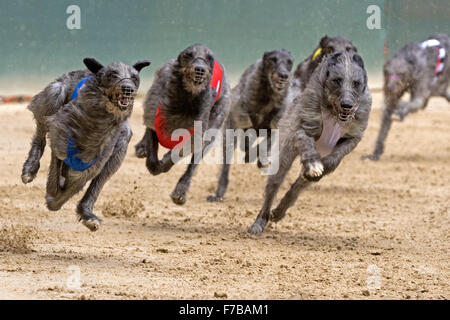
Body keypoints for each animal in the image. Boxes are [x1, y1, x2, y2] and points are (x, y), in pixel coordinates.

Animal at [22, 56, 151, 229]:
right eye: (112, 74)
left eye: (134, 77)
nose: (128, 89)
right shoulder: (60, 138)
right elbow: (57, 176)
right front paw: (52, 194)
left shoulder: (98, 158)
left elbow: (80, 181)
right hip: (55, 92)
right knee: (41, 134)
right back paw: (30, 168)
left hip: (120, 142)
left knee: (99, 179)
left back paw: (87, 212)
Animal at [133, 43, 232, 205]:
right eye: (189, 55)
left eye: (209, 58)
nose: (200, 69)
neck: (186, 100)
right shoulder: (154, 116)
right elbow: (152, 151)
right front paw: (154, 160)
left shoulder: (196, 133)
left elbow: (180, 152)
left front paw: (166, 162)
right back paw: (142, 147)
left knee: (194, 162)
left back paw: (180, 192)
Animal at [207, 48, 296, 201]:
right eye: (273, 59)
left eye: (289, 61)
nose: (284, 75)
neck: (268, 95)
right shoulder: (241, 117)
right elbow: (247, 141)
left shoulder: (275, 125)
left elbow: (265, 144)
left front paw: (259, 158)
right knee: (227, 163)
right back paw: (219, 193)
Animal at [248, 52, 370, 235]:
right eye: (337, 80)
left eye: (356, 83)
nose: (347, 105)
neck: (333, 113)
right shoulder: (304, 125)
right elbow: (305, 140)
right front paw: (313, 164)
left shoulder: (353, 134)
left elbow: (336, 157)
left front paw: (320, 168)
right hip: (285, 144)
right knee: (275, 182)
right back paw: (260, 221)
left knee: (299, 185)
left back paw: (281, 209)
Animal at [362, 33, 450, 161]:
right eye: (387, 72)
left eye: (401, 73)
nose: (389, 88)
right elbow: (385, 120)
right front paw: (375, 154)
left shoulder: (421, 87)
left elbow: (415, 103)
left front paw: (400, 112)